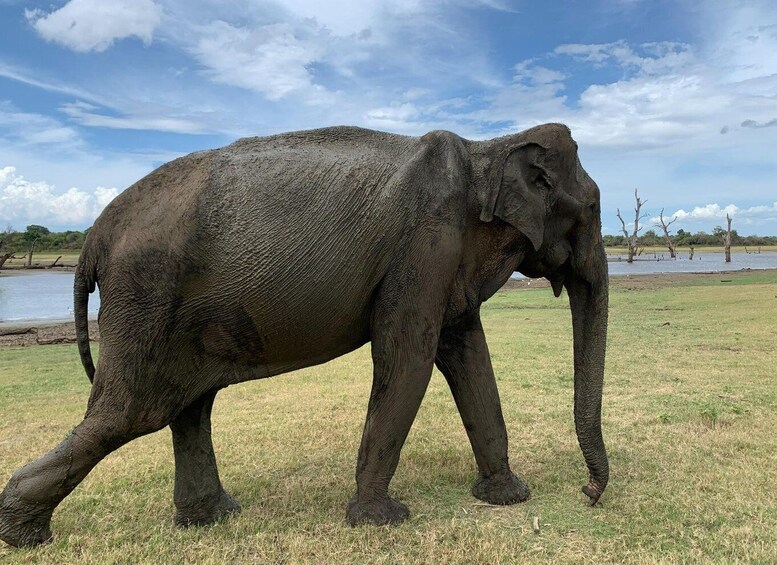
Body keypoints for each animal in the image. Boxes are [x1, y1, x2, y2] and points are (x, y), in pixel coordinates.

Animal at [0, 122, 608, 548]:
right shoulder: (423, 247)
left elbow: (467, 356)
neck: (490, 148)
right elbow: (407, 360)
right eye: (594, 208)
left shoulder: (445, 262)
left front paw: (507, 498)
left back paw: (211, 519)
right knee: (132, 412)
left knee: (187, 407)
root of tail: (94, 238)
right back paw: (25, 534)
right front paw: (380, 522)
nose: (589, 494)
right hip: (144, 296)